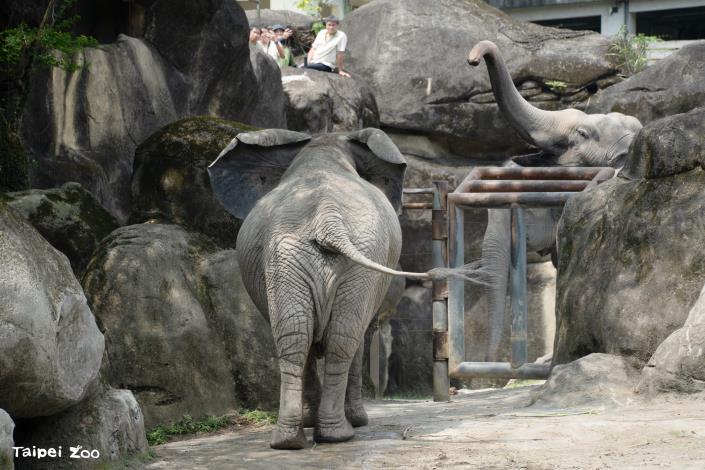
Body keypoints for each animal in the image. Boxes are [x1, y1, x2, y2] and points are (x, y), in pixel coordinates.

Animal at [208, 128, 482, 449]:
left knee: (295, 335)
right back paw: (339, 433)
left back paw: (290, 440)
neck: (324, 146)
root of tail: (326, 218)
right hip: (346, 261)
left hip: (288, 258)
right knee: (343, 337)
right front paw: (352, 421)